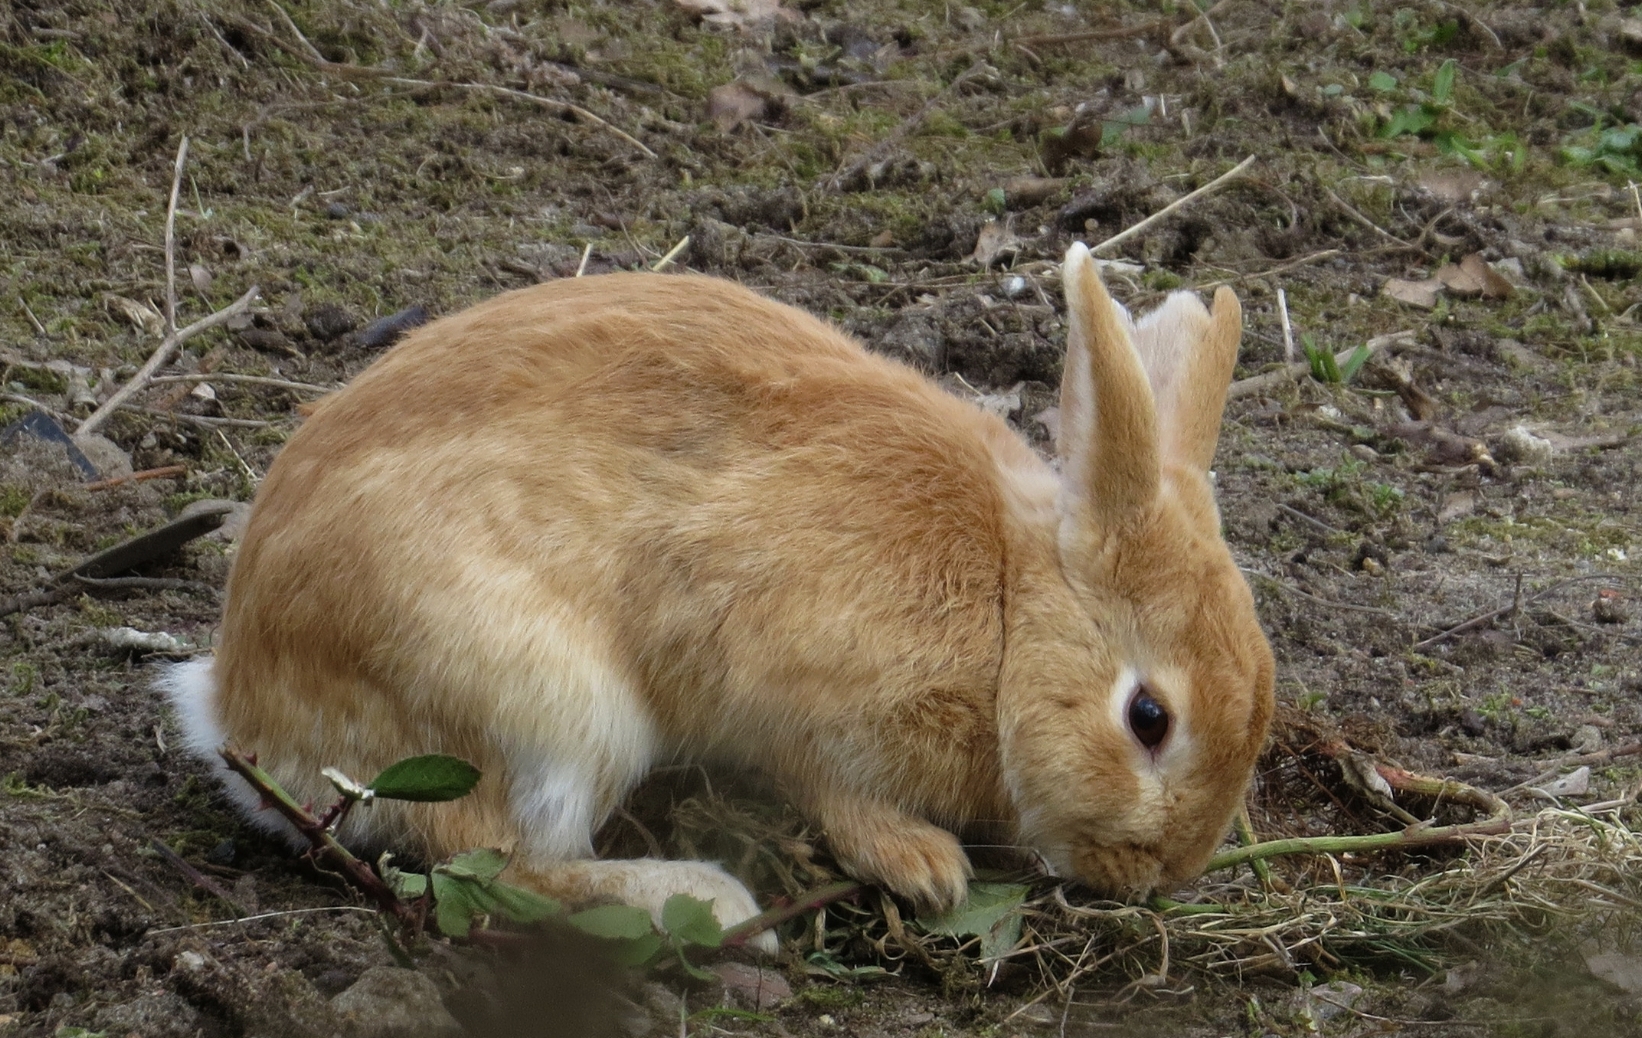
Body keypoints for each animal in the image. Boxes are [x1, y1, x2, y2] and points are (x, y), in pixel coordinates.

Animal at [163, 241, 1267, 946]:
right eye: (1149, 718)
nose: (1157, 878)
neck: (1008, 607)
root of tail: (242, 710)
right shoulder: (793, 692)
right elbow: (827, 785)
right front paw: (922, 864)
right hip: (544, 710)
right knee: (495, 863)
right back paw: (710, 903)